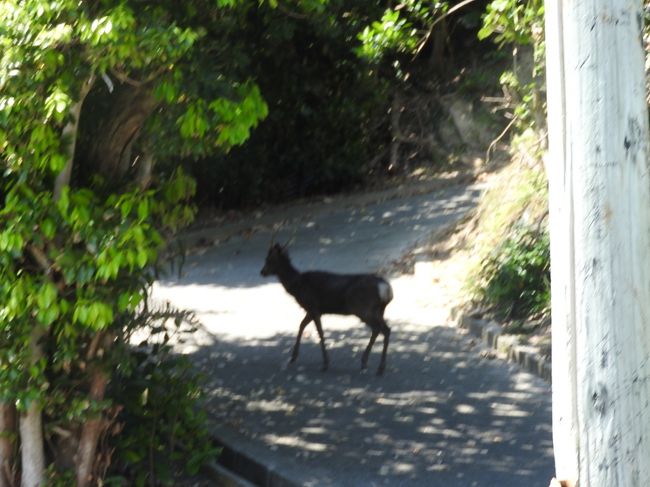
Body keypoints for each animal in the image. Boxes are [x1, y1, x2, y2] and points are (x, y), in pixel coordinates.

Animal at [256, 244, 390, 378]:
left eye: (270, 259)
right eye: (267, 258)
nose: (262, 272)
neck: (297, 285)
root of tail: (386, 289)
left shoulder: (313, 307)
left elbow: (319, 332)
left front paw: (325, 363)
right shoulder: (312, 310)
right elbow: (302, 325)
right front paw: (293, 357)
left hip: (362, 309)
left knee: (379, 329)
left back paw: (372, 365)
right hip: (378, 310)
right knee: (385, 329)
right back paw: (376, 366)